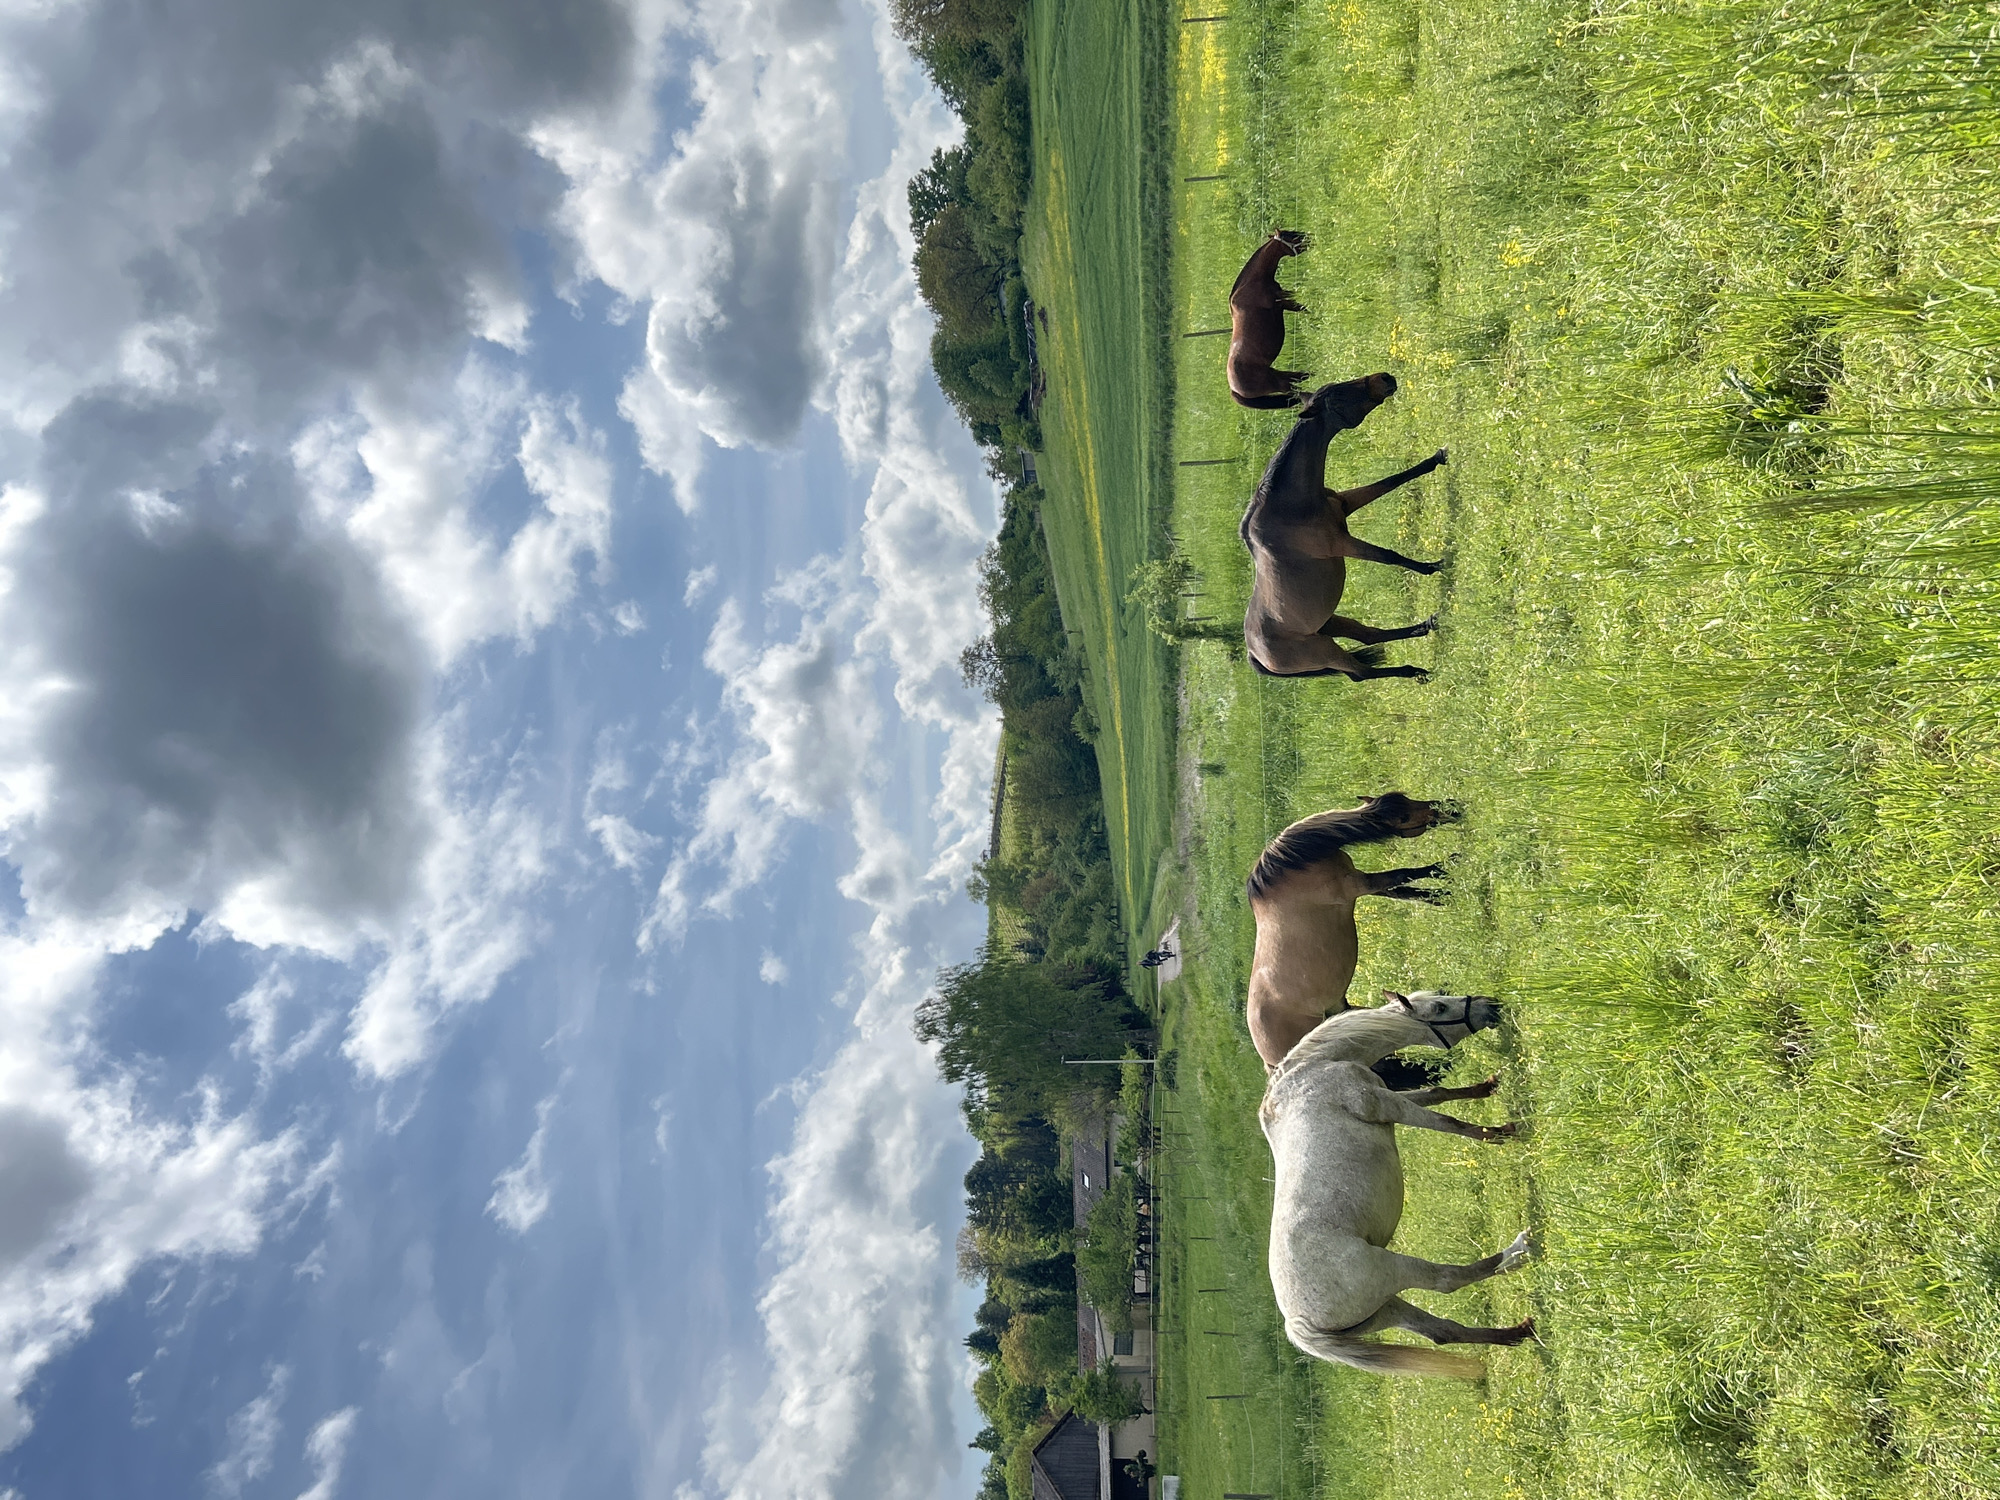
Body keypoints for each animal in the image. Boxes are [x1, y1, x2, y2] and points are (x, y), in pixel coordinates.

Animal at [1228, 230, 1313, 408]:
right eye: (1292, 236)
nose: (1311, 237)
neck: (1252, 283)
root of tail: (1234, 391)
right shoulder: (1282, 301)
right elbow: (1303, 307)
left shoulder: (1283, 299)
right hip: (1278, 383)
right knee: (1296, 389)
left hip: (1276, 374)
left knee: (1299, 376)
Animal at [1240, 375, 1449, 680]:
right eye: (1339, 394)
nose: (1385, 378)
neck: (1288, 507)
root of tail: (1254, 654)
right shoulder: (1340, 542)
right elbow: (1389, 556)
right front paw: (1433, 566)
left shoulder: (1346, 504)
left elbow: (1392, 481)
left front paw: (1436, 458)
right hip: (1324, 649)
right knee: (1361, 673)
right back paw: (1414, 671)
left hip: (1331, 622)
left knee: (1369, 635)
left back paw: (1427, 626)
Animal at [1245, 793, 1458, 1070]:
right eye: (1403, 817)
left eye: (1406, 797)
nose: (1452, 808)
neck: (1295, 866)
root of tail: (1271, 1062)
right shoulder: (1359, 884)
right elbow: (1403, 875)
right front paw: (1448, 867)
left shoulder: (1365, 884)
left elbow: (1405, 891)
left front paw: (1443, 892)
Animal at [1261, 991, 1534, 1378]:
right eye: (1439, 1008)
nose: (1489, 1005)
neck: (1316, 1070)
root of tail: (1299, 1324)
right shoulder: (1387, 1104)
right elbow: (1447, 1121)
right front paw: (1501, 1133)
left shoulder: (1392, 1095)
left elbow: (1437, 1092)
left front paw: (1487, 1087)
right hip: (1395, 1270)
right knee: (1447, 1280)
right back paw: (1517, 1252)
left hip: (1386, 1311)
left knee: (1442, 1332)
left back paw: (1518, 1333)